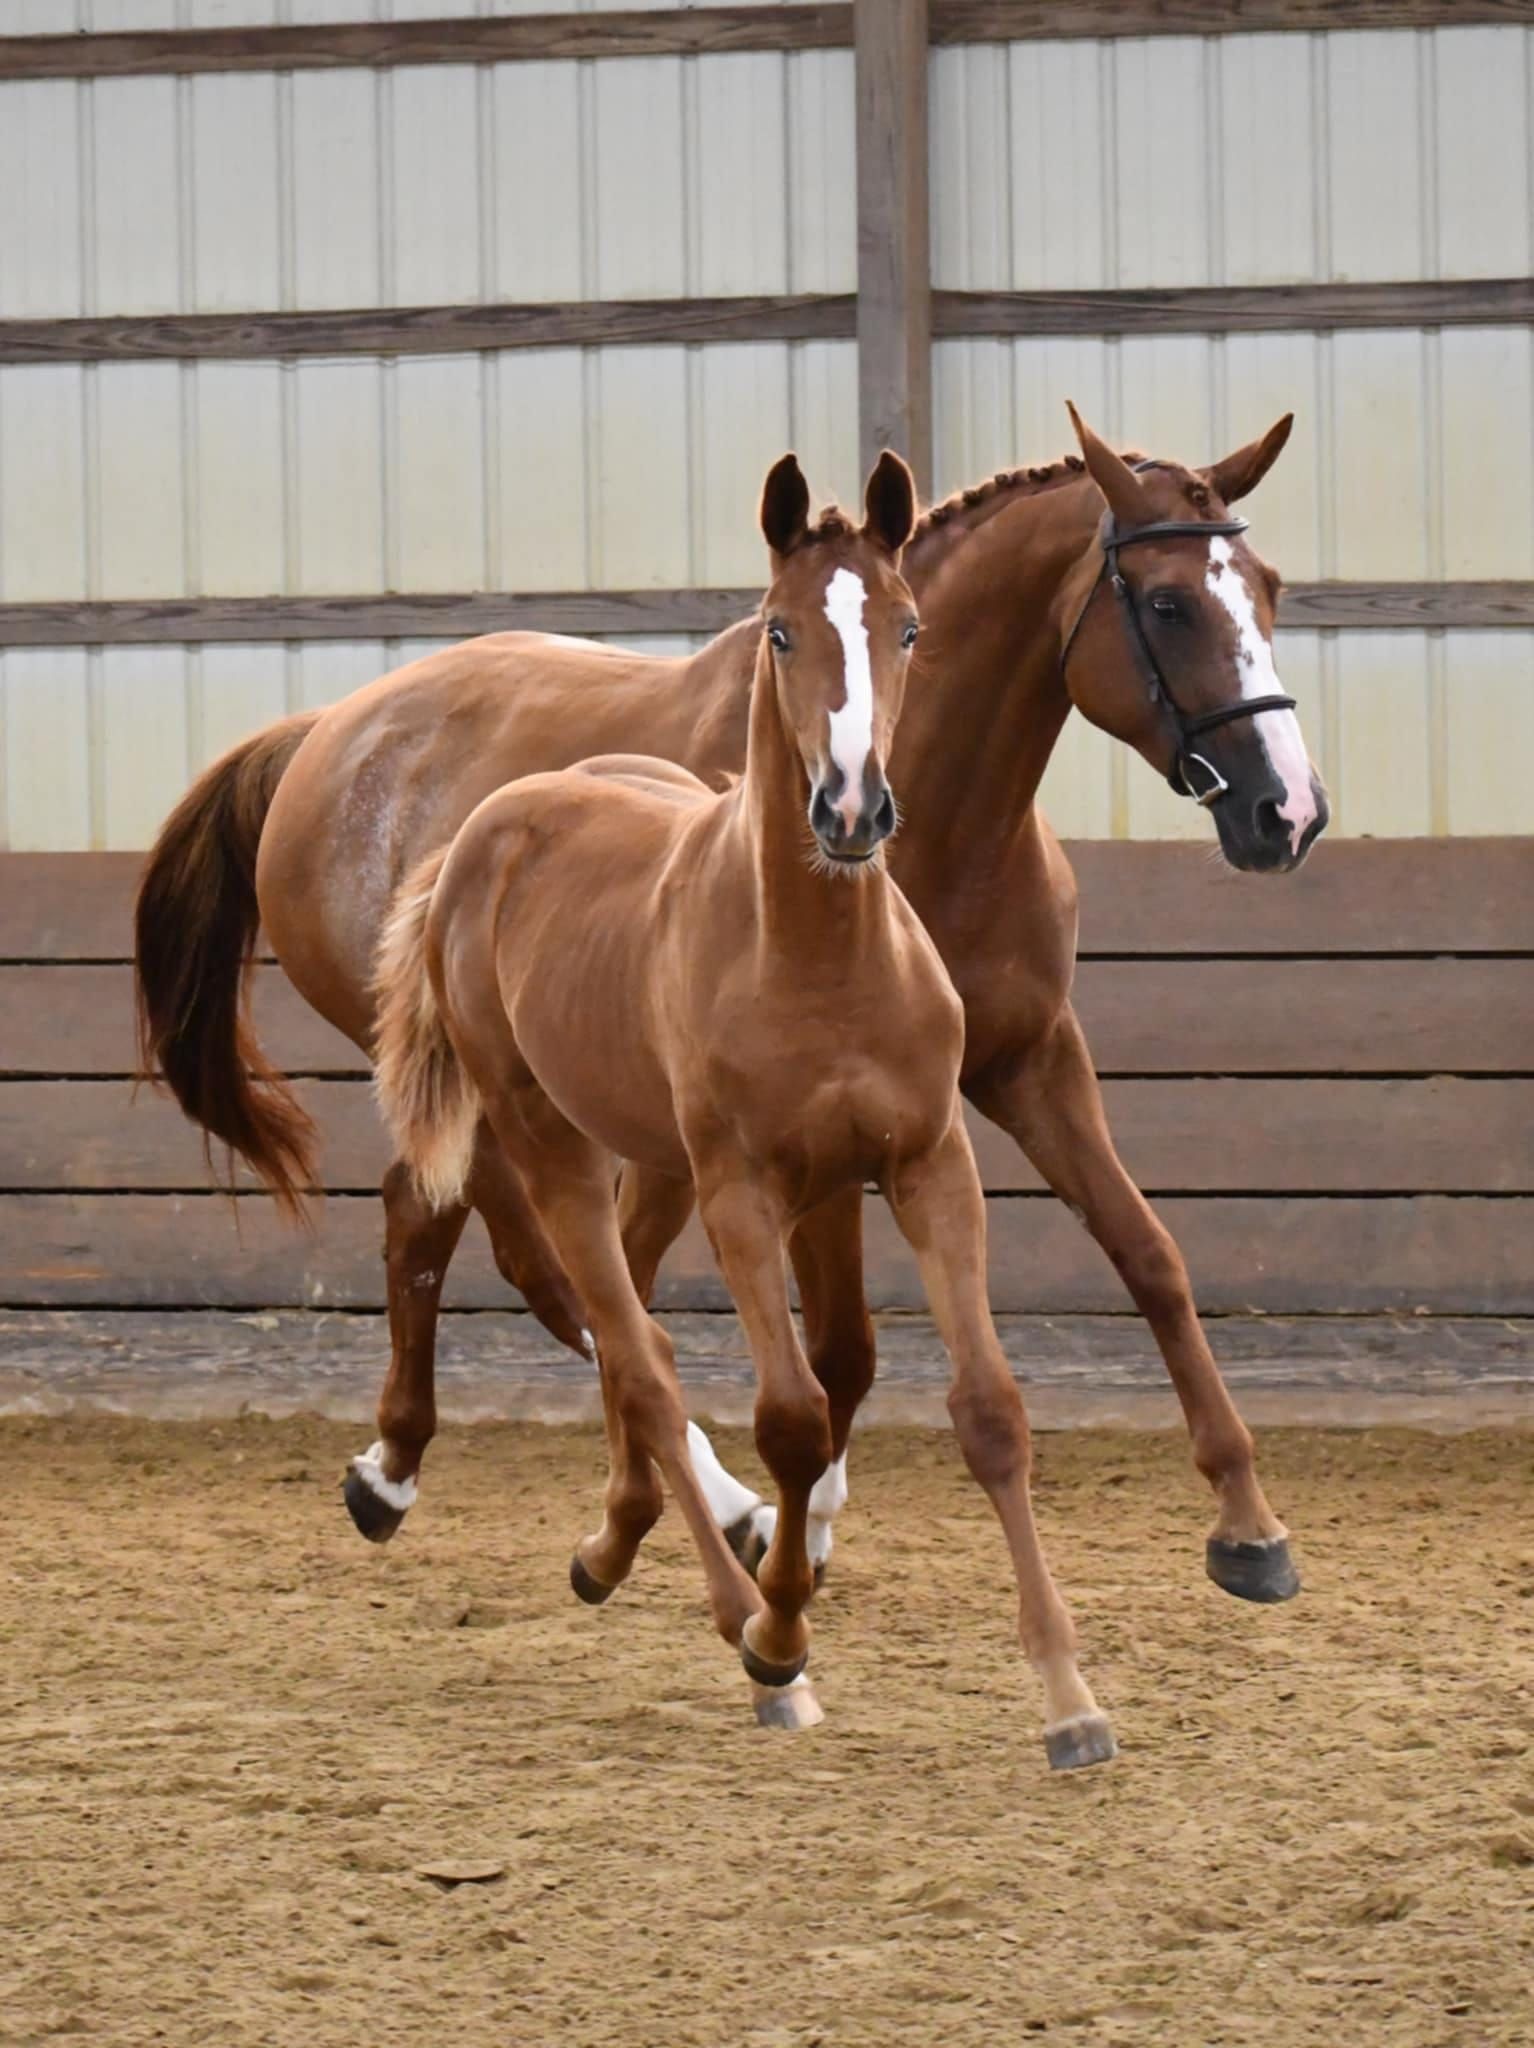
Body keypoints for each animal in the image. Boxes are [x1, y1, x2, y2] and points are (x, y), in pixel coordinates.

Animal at [135, 402, 1327, 1606]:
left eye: (1267, 587)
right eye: (1169, 602)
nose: (1287, 810)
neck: (941, 827)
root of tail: (330, 729)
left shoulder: (1025, 1060)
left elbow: (1150, 1256)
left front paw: (1249, 1524)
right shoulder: (825, 1139)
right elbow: (841, 1344)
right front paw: (797, 1532)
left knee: (442, 1218)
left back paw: (394, 1469)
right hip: (523, 1094)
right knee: (550, 1266)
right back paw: (711, 1503)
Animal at [369, 449, 1115, 1761]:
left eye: (908, 626)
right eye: (777, 630)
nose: (853, 810)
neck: (816, 955)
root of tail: (481, 830)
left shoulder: (927, 1162)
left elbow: (986, 1408)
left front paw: (1070, 1699)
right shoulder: (746, 1192)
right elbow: (792, 1419)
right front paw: (779, 1638)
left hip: (652, 1158)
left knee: (636, 1343)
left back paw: (613, 1547)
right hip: (552, 1139)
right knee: (637, 1352)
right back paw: (734, 1623)